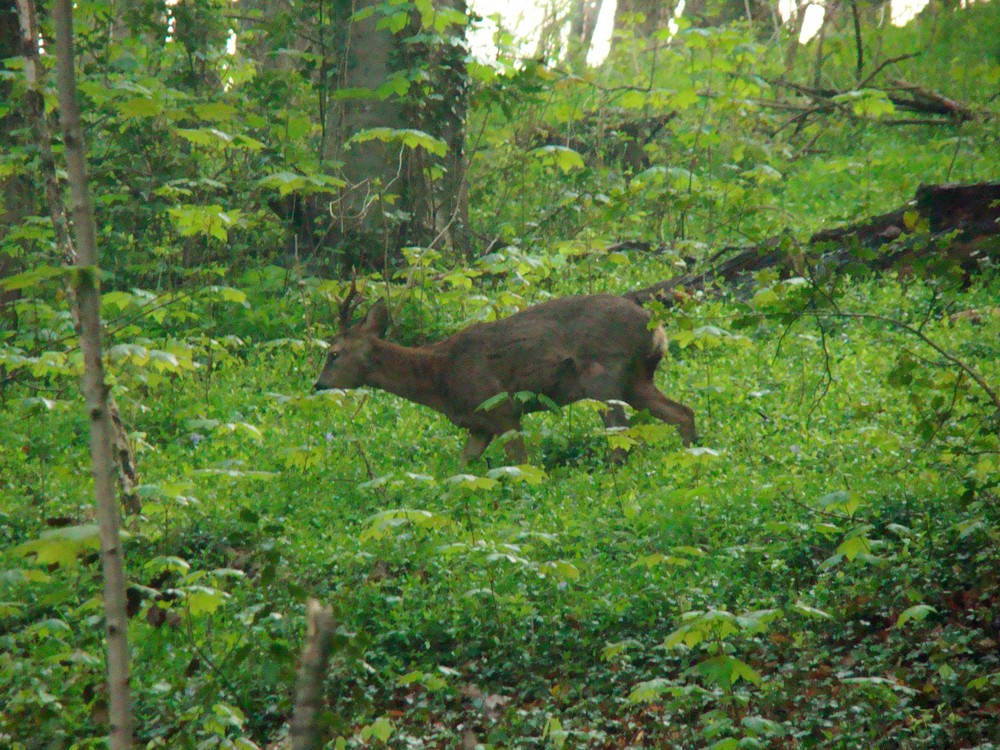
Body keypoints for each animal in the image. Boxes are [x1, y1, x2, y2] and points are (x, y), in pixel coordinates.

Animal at [314, 286, 696, 464]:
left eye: (333, 354)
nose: (318, 385)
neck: (439, 378)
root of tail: (657, 329)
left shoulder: (502, 408)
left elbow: (521, 463)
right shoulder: (478, 424)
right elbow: (461, 467)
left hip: (604, 376)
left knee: (621, 435)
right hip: (637, 382)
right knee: (683, 412)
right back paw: (694, 457)